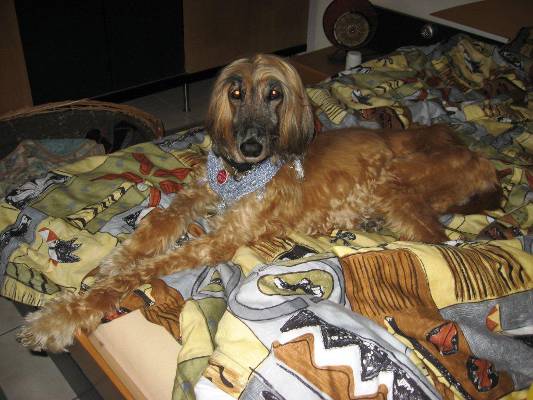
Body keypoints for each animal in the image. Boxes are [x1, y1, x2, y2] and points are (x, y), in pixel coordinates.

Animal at [18, 54, 501, 352]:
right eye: (235, 93)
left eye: (275, 94)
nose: (249, 147)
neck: (239, 176)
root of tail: (479, 157)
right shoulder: (197, 194)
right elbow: (151, 229)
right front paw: (111, 263)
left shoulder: (218, 241)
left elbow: (142, 270)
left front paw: (61, 317)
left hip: (396, 185)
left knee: (436, 238)